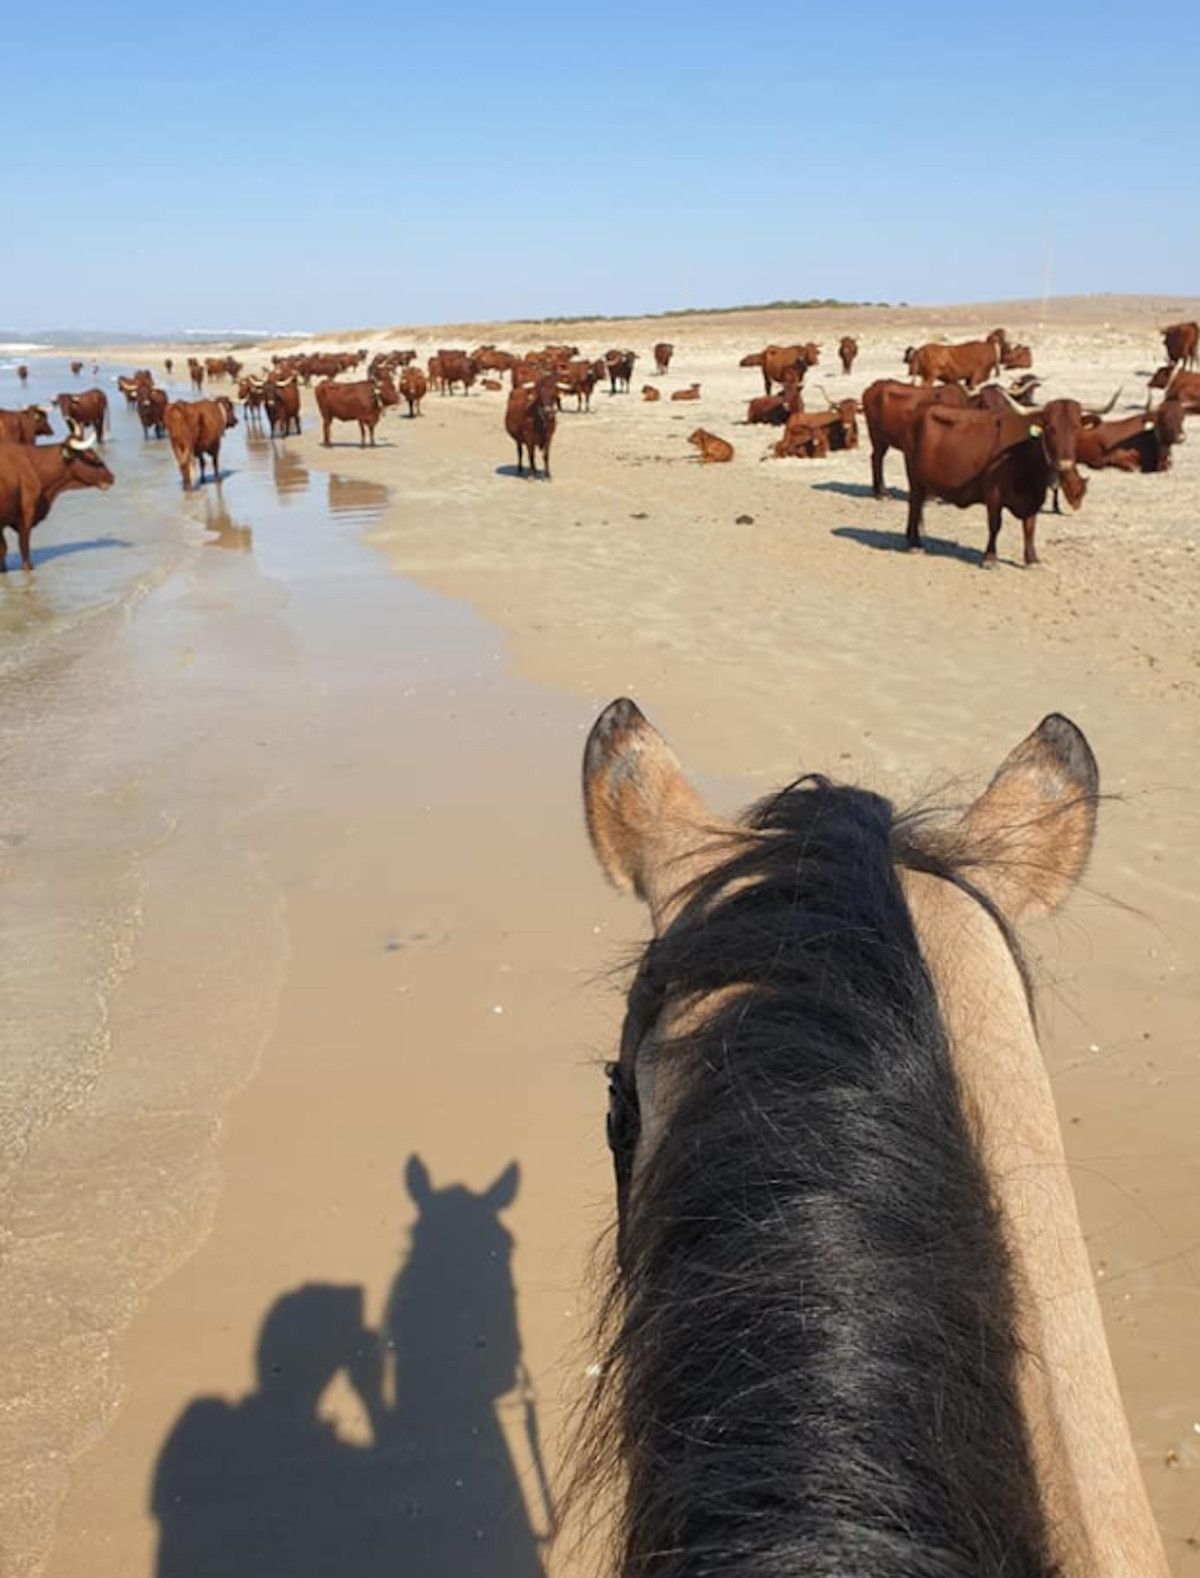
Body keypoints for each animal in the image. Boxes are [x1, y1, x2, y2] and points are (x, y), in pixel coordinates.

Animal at [903, 397, 1086, 567]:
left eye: (1076, 427)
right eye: (1050, 428)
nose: (1065, 464)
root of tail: (923, 407)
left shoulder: (1033, 499)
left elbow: (1029, 527)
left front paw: (1032, 559)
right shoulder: (993, 494)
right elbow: (995, 525)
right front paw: (990, 557)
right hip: (915, 478)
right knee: (915, 505)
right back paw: (915, 544)